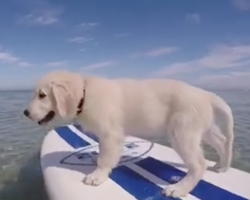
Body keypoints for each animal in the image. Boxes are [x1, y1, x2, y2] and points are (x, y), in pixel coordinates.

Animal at [23, 70, 234, 197]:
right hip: (203, 128)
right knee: (222, 141)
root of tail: (205, 94)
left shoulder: (110, 134)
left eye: (42, 95)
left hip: (182, 131)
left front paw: (96, 176)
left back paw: (178, 189)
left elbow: (105, 158)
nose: (25, 113)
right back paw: (222, 166)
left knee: (198, 164)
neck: (85, 93)